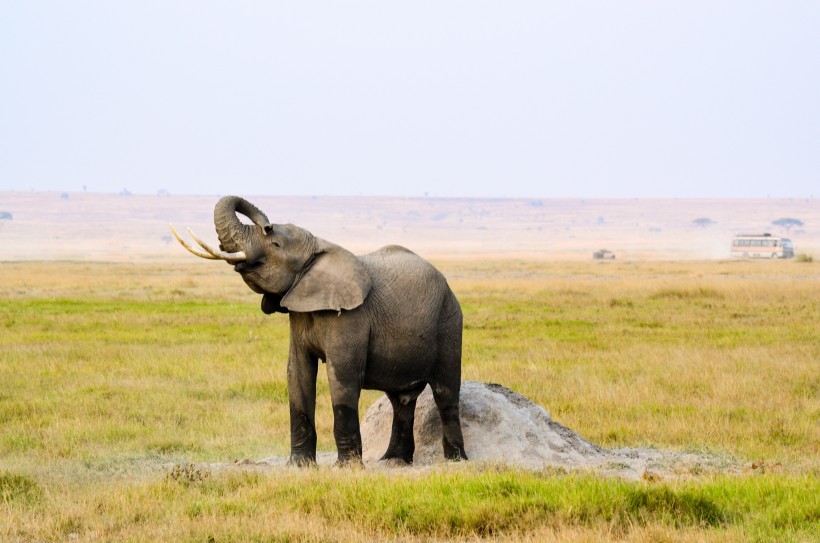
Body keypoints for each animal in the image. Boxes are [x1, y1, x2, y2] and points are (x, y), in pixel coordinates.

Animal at [171, 196, 468, 468]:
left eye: (275, 244)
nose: (266, 224)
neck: (319, 247)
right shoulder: (299, 314)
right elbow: (298, 373)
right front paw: (299, 466)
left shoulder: (350, 317)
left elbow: (342, 377)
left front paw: (347, 468)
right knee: (401, 400)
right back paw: (393, 462)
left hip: (449, 320)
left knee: (445, 393)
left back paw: (455, 461)